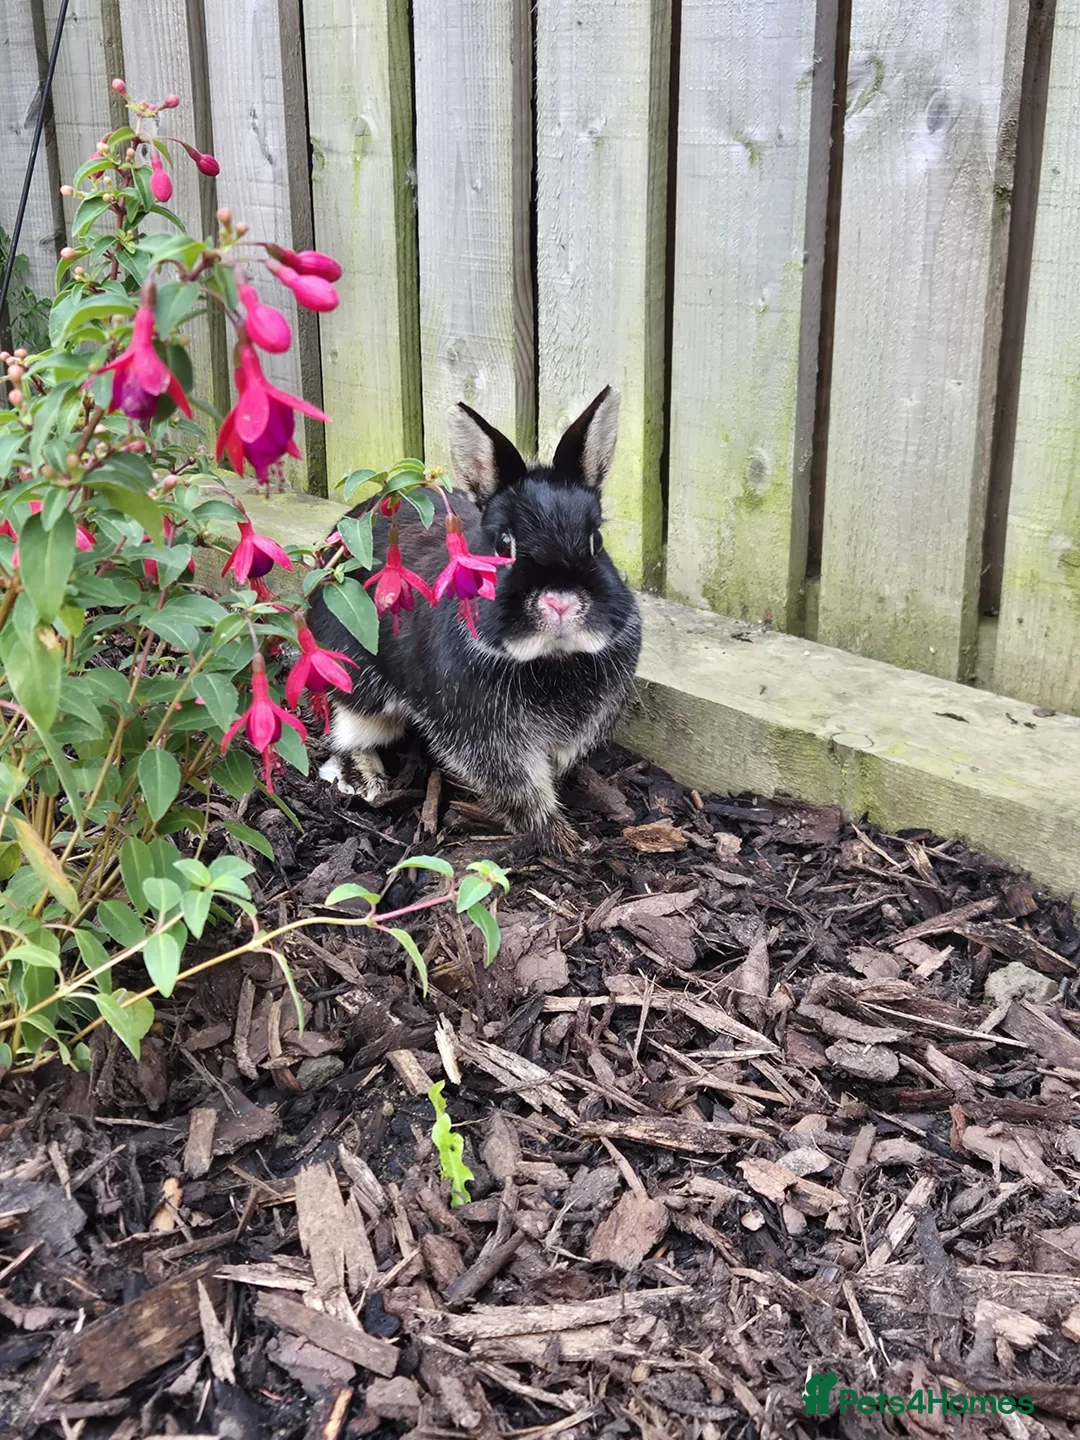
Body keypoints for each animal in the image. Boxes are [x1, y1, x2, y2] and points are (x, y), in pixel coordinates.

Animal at [306, 386, 642, 854]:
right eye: (503, 544)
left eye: (596, 541)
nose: (560, 603)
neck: (550, 659)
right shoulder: (485, 738)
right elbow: (520, 789)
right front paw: (562, 840)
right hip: (356, 683)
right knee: (349, 734)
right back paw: (370, 783)